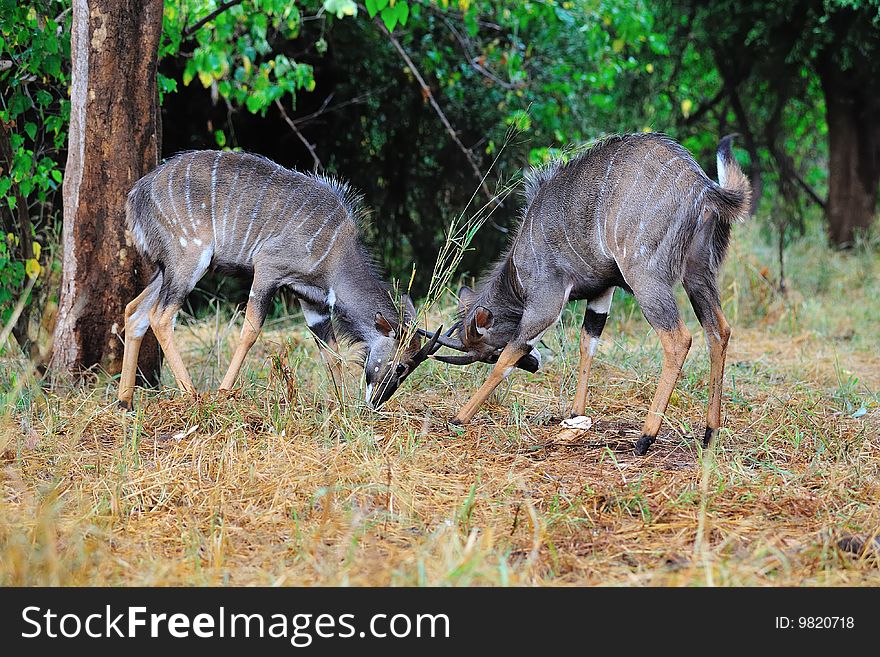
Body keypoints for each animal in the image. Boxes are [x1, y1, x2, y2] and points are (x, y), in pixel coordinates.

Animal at [118, 152, 440, 410]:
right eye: (402, 366)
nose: (376, 403)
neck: (336, 254)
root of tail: (137, 195)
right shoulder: (267, 269)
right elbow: (250, 331)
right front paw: (224, 392)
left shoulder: (312, 300)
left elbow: (331, 353)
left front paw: (341, 406)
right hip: (190, 258)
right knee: (160, 316)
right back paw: (192, 394)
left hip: (166, 268)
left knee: (135, 311)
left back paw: (125, 402)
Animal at [426, 131, 748, 454]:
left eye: (489, 354)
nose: (534, 366)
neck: (518, 269)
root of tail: (704, 187)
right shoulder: (601, 291)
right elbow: (587, 343)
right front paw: (575, 415)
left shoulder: (546, 301)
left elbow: (510, 356)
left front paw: (459, 417)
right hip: (699, 275)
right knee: (719, 331)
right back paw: (710, 434)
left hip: (646, 280)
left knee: (679, 338)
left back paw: (645, 438)